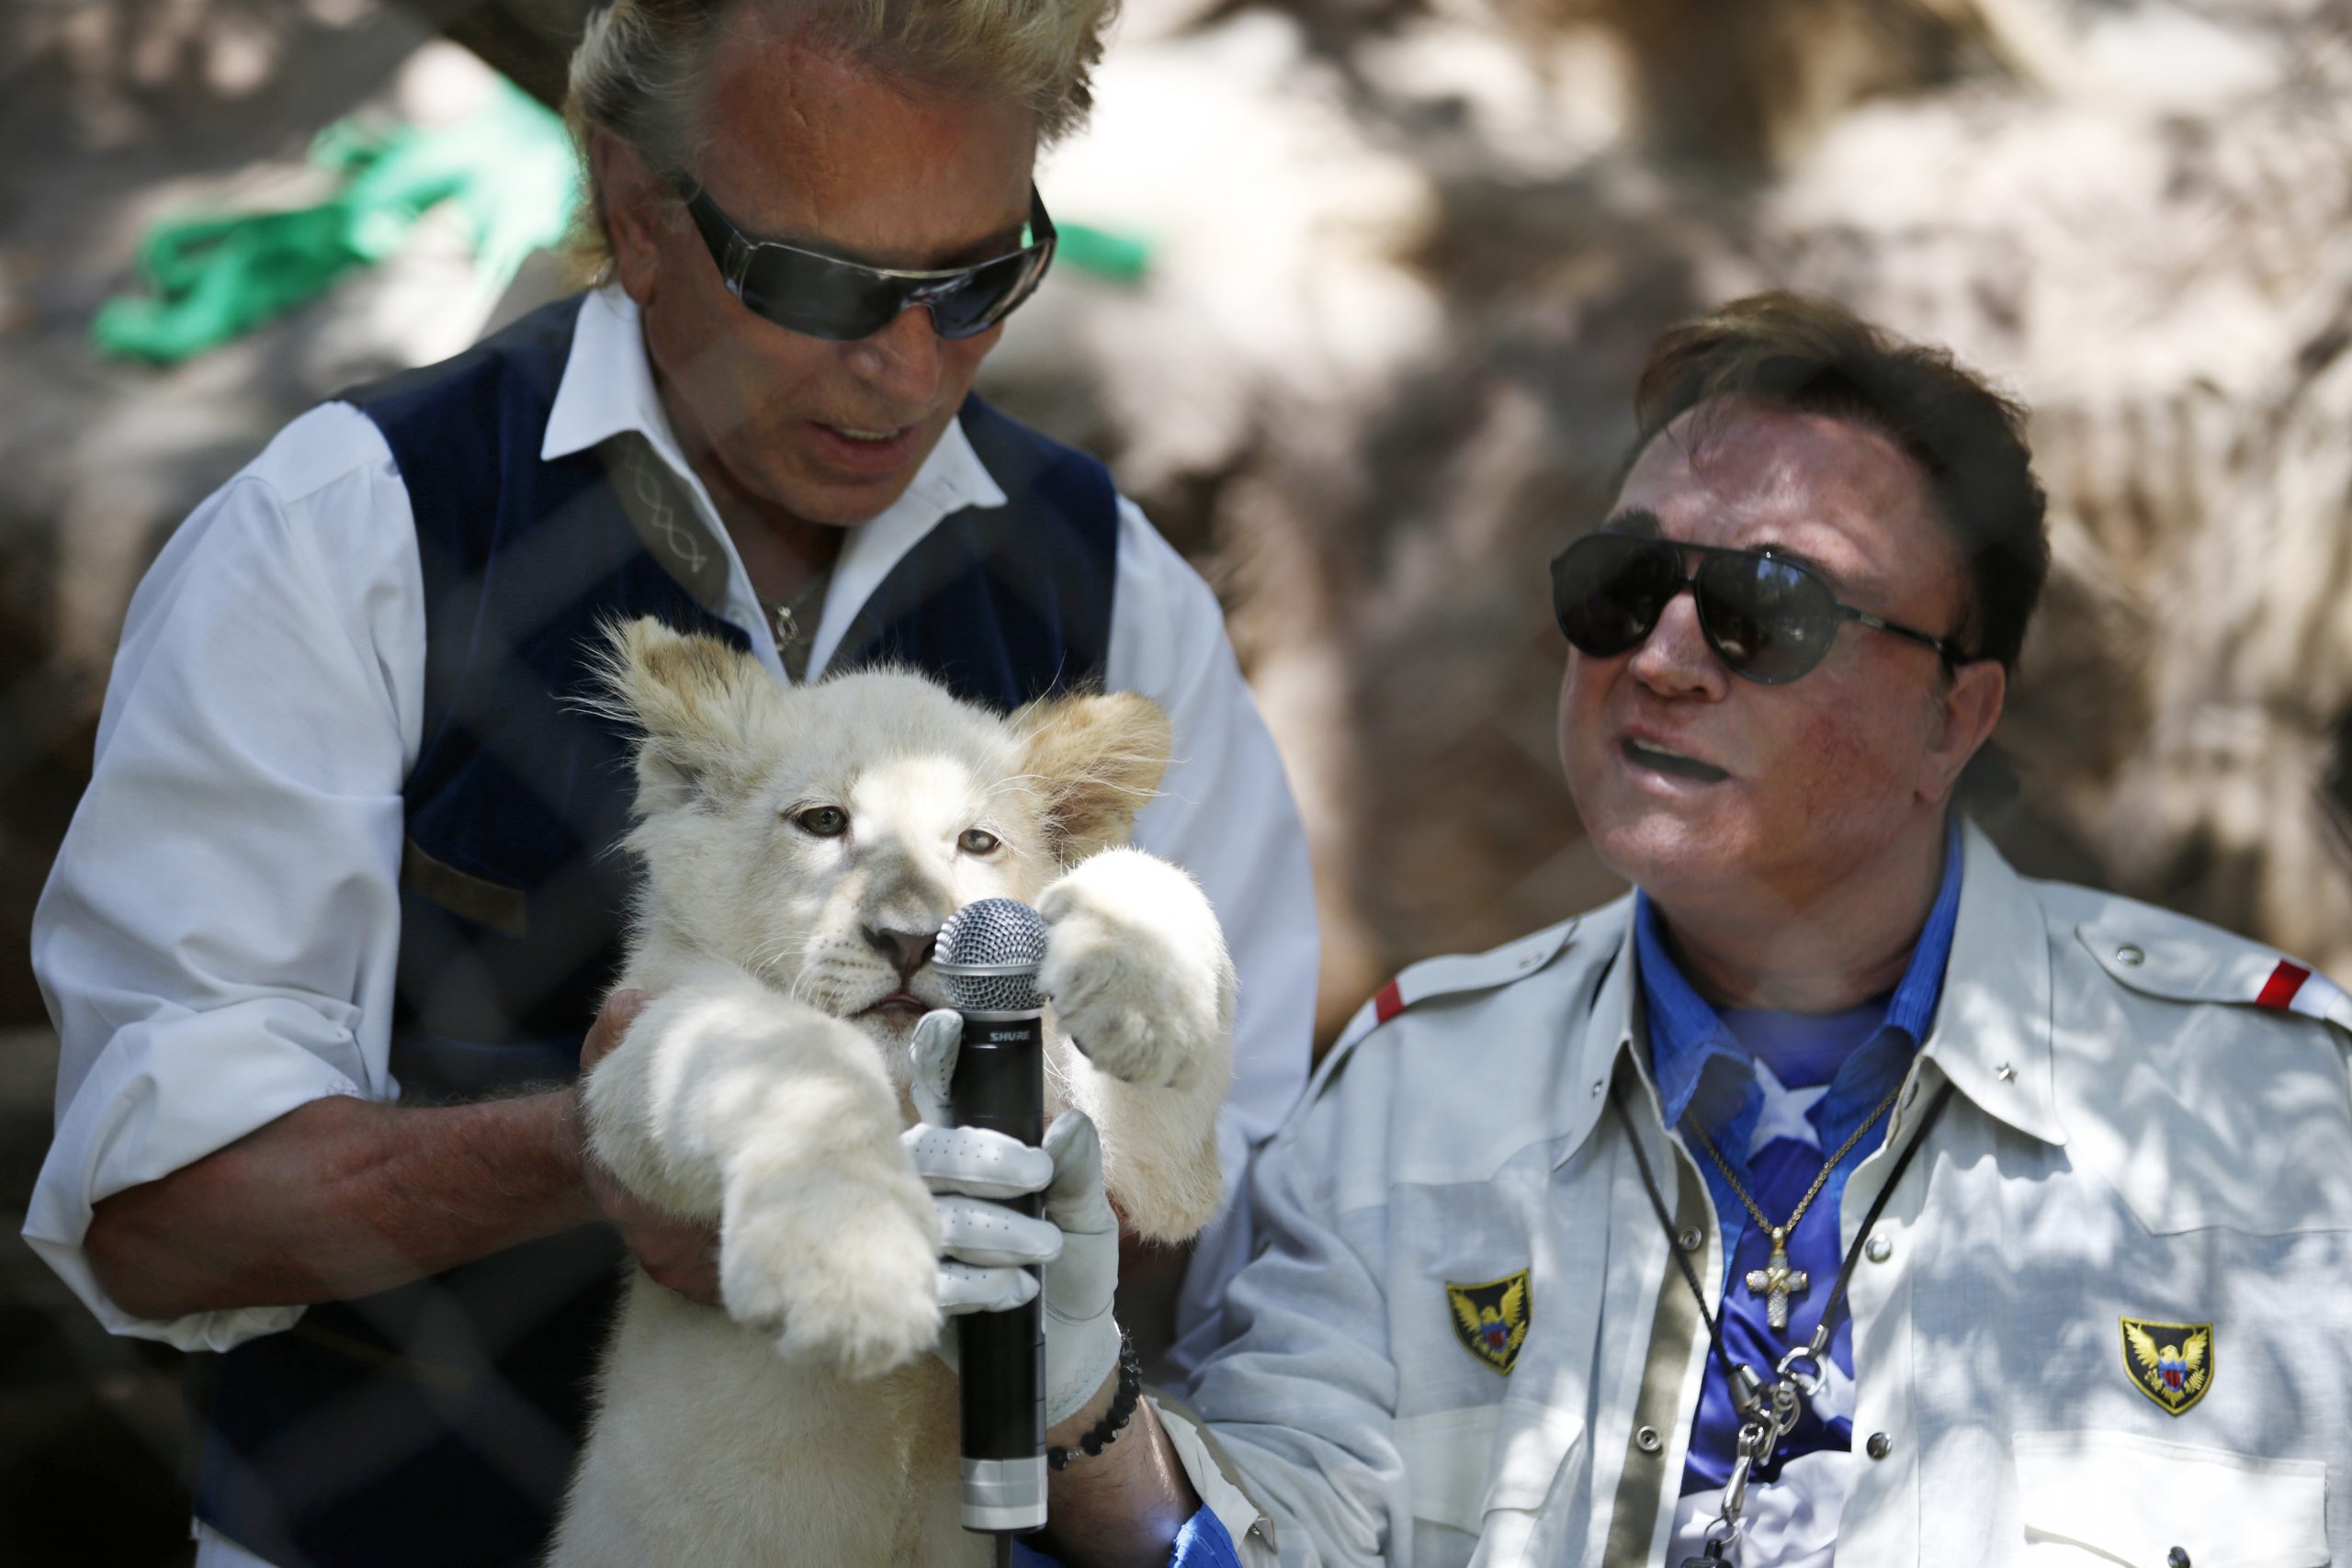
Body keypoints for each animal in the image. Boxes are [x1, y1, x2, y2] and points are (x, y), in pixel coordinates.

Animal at [545, 618, 1236, 1568]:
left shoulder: (1154, 1164)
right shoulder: (636, 1048)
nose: (911, 939)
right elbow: (800, 1059)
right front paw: (854, 1271)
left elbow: (1146, 878)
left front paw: (1148, 1000)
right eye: (824, 822)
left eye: (977, 842)